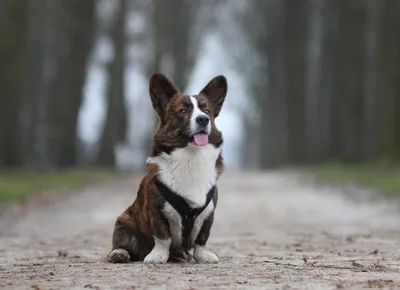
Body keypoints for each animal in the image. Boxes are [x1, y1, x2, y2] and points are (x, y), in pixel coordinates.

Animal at [106, 72, 228, 262]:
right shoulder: (156, 210)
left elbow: (202, 238)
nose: (203, 119)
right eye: (183, 111)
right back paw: (120, 253)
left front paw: (203, 256)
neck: (190, 156)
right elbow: (163, 236)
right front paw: (158, 256)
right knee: (122, 245)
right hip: (123, 220)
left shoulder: (208, 213)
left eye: (207, 111)